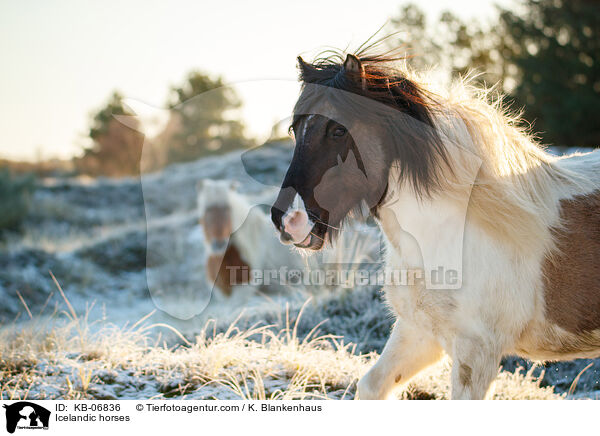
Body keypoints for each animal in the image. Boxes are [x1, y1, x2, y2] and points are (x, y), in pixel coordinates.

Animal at [270, 50, 600, 398]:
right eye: (295, 129)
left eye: (338, 131)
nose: (287, 219)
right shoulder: (419, 332)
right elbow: (372, 385)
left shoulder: (476, 351)